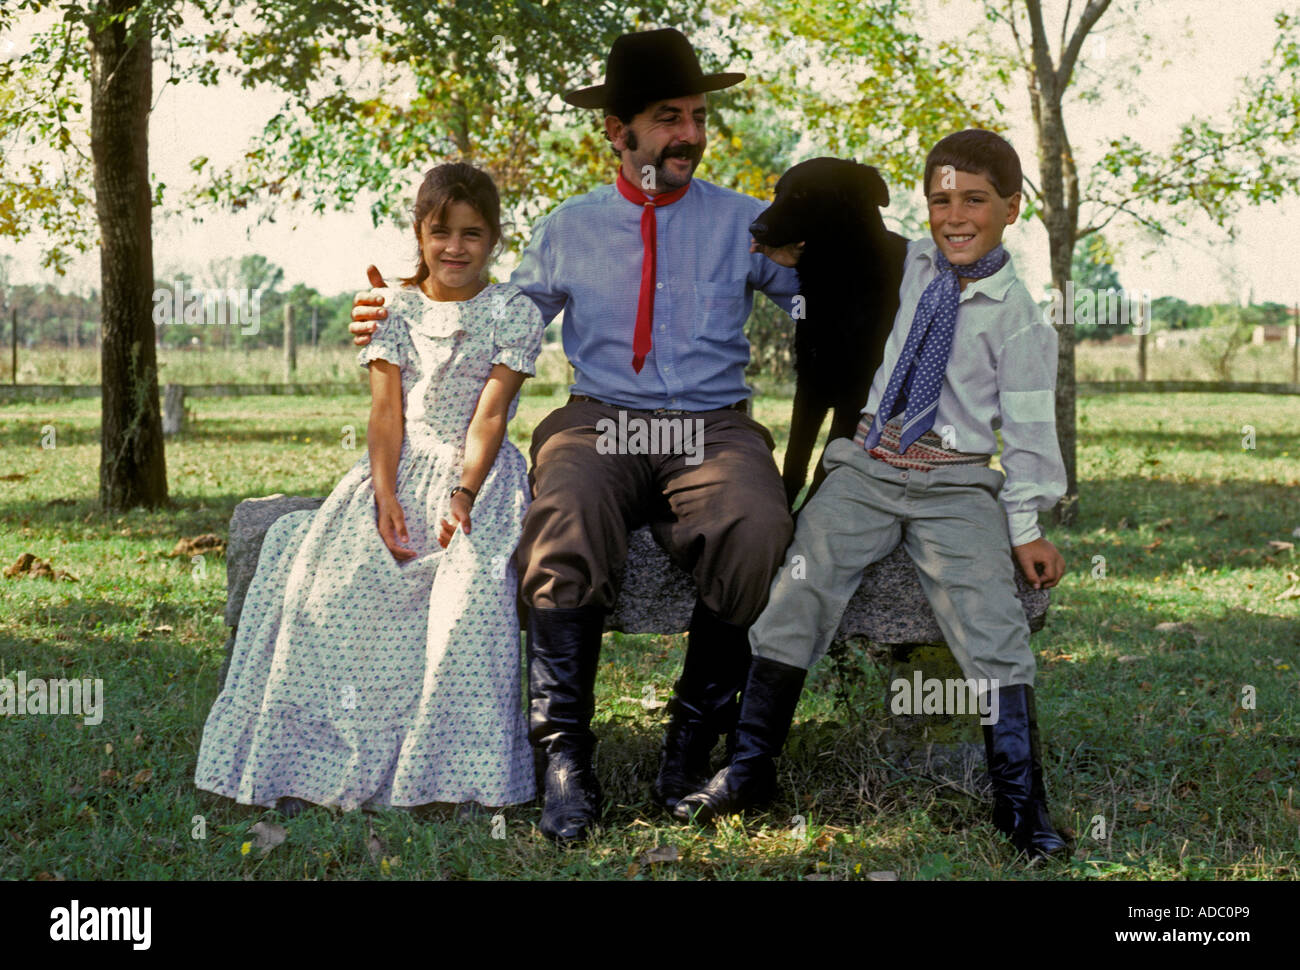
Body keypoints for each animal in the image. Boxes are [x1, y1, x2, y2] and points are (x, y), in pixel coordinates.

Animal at [748, 154, 909, 509]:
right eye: (778, 193)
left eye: (802, 194)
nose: (754, 228)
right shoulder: (811, 384)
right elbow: (795, 460)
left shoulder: (856, 395)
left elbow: (826, 464)